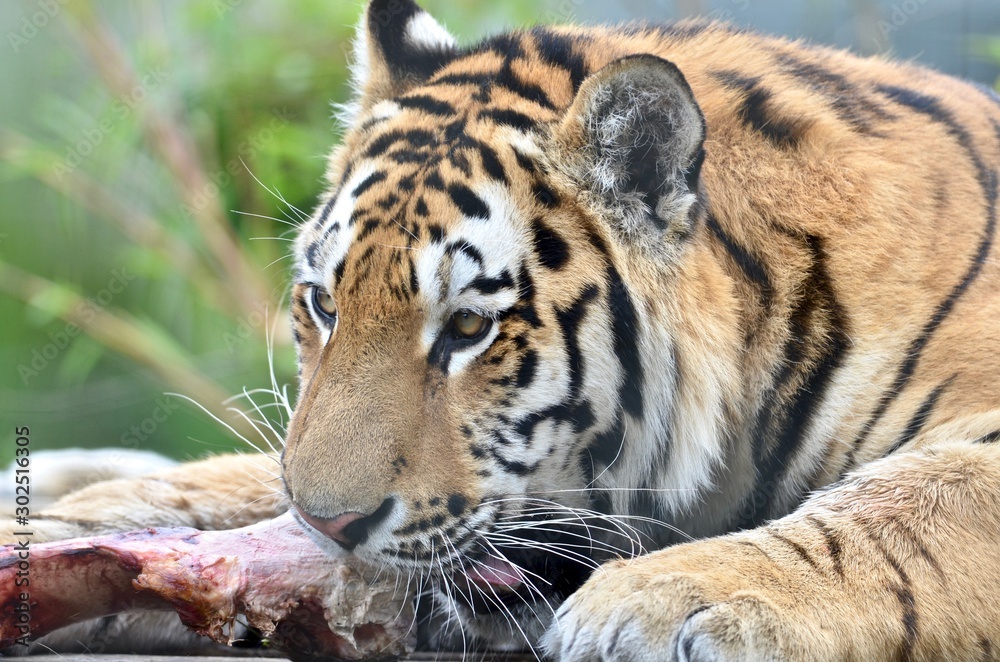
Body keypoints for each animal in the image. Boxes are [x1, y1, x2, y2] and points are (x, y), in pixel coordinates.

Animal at [7, 0, 1000, 659]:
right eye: (325, 304)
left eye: (468, 327)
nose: (330, 528)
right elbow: (238, 478)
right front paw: (73, 517)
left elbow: (906, 504)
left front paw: (660, 600)